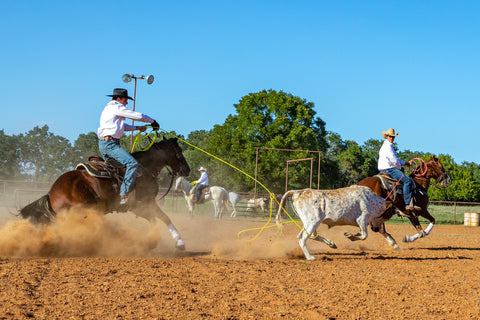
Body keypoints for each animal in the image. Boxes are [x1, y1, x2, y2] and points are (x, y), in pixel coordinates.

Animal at [19, 137, 191, 250]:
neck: (144, 167)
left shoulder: (139, 206)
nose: (187, 170)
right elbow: (163, 217)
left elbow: (156, 219)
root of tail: (52, 193)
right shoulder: (144, 204)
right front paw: (179, 242)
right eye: (179, 151)